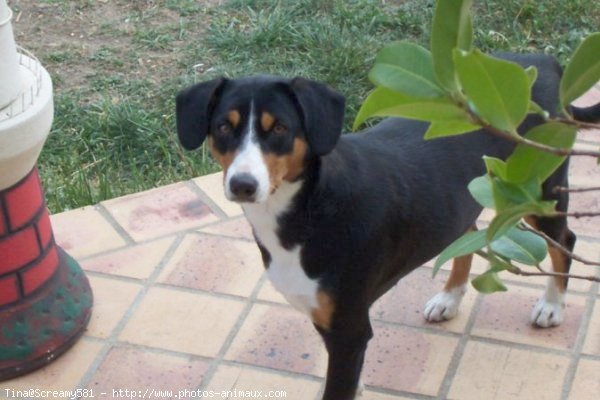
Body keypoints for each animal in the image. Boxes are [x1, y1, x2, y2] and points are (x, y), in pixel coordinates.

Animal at [176, 54, 600, 400]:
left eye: (279, 128)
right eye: (223, 127)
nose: (243, 185)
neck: (308, 208)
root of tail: (544, 62)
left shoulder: (348, 327)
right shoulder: (330, 322)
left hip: (538, 190)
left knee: (565, 240)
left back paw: (551, 304)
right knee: (465, 235)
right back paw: (450, 298)